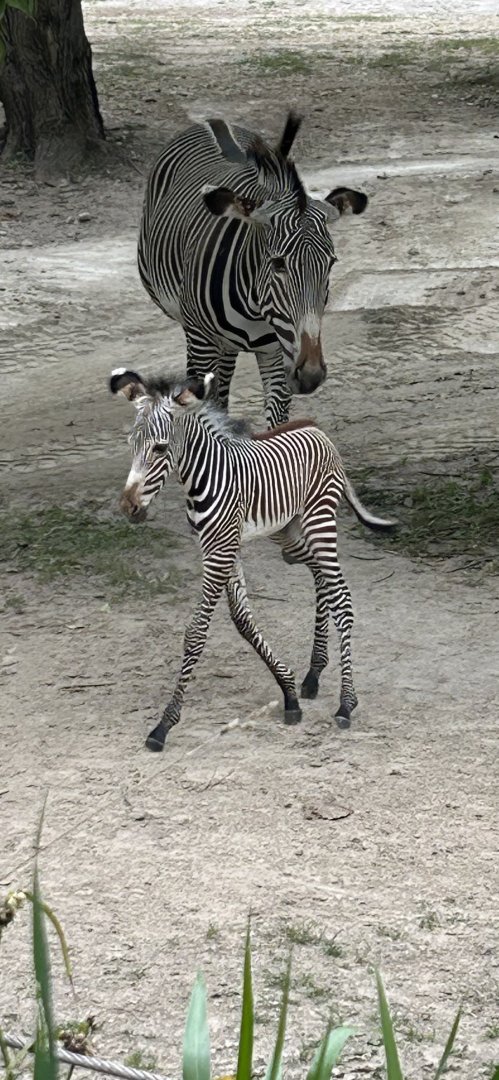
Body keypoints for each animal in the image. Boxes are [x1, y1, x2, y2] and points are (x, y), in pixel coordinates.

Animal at [110, 366, 395, 752]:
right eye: (131, 445)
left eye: (160, 448)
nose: (129, 508)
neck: (203, 477)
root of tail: (317, 428)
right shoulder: (221, 547)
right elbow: (243, 620)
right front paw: (289, 693)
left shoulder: (220, 551)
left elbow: (196, 632)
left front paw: (164, 725)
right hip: (288, 534)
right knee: (321, 578)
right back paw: (314, 674)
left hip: (320, 520)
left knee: (342, 598)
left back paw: (346, 703)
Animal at [137, 112, 367, 430]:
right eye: (278, 263)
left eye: (330, 264)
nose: (311, 376)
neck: (255, 307)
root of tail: (213, 121)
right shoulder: (203, 344)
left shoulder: (278, 352)